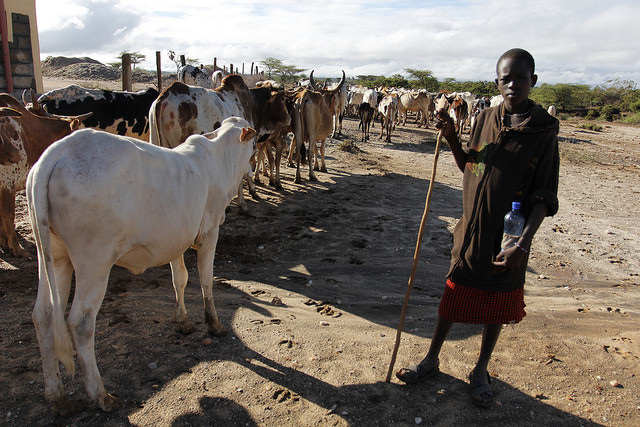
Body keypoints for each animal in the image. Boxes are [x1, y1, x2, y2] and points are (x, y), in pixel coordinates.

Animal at [26, 116, 258, 414]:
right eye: (253, 144)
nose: (251, 168)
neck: (219, 158)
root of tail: (57, 152)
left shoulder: (175, 239)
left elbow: (179, 279)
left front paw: (182, 321)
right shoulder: (209, 234)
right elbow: (206, 280)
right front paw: (214, 325)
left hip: (54, 258)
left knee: (43, 314)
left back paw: (57, 396)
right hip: (94, 261)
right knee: (80, 321)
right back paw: (101, 395)